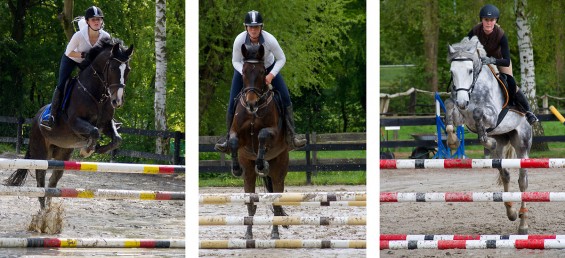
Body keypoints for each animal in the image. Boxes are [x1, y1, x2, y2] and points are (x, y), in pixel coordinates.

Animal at [4, 38, 134, 211]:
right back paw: (43, 213)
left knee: (53, 182)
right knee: (40, 182)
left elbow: (117, 139)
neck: (97, 95)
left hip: (62, 154)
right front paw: (87, 150)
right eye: (112, 68)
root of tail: (36, 118)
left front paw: (98, 149)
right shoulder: (75, 122)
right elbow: (94, 131)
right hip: (41, 153)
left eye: (128, 70)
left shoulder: (106, 124)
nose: (117, 101)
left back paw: (49, 212)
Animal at [227, 43, 288, 239]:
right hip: (249, 176)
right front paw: (235, 168)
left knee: (276, 201)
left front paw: (262, 164)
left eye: (262, 72)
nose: (251, 104)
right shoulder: (236, 133)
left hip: (279, 169)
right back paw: (248, 233)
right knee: (251, 203)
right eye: (244, 72)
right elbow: (233, 141)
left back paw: (275, 233)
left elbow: (262, 135)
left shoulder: (274, 133)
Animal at [442, 36, 532, 234]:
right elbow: (449, 109)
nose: (462, 102)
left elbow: (478, 115)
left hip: (522, 142)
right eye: (452, 72)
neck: (473, 90)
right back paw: (511, 212)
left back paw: (523, 224)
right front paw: (452, 142)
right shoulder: (459, 113)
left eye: (470, 70)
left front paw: (486, 141)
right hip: (502, 143)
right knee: (505, 173)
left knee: (523, 180)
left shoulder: (492, 116)